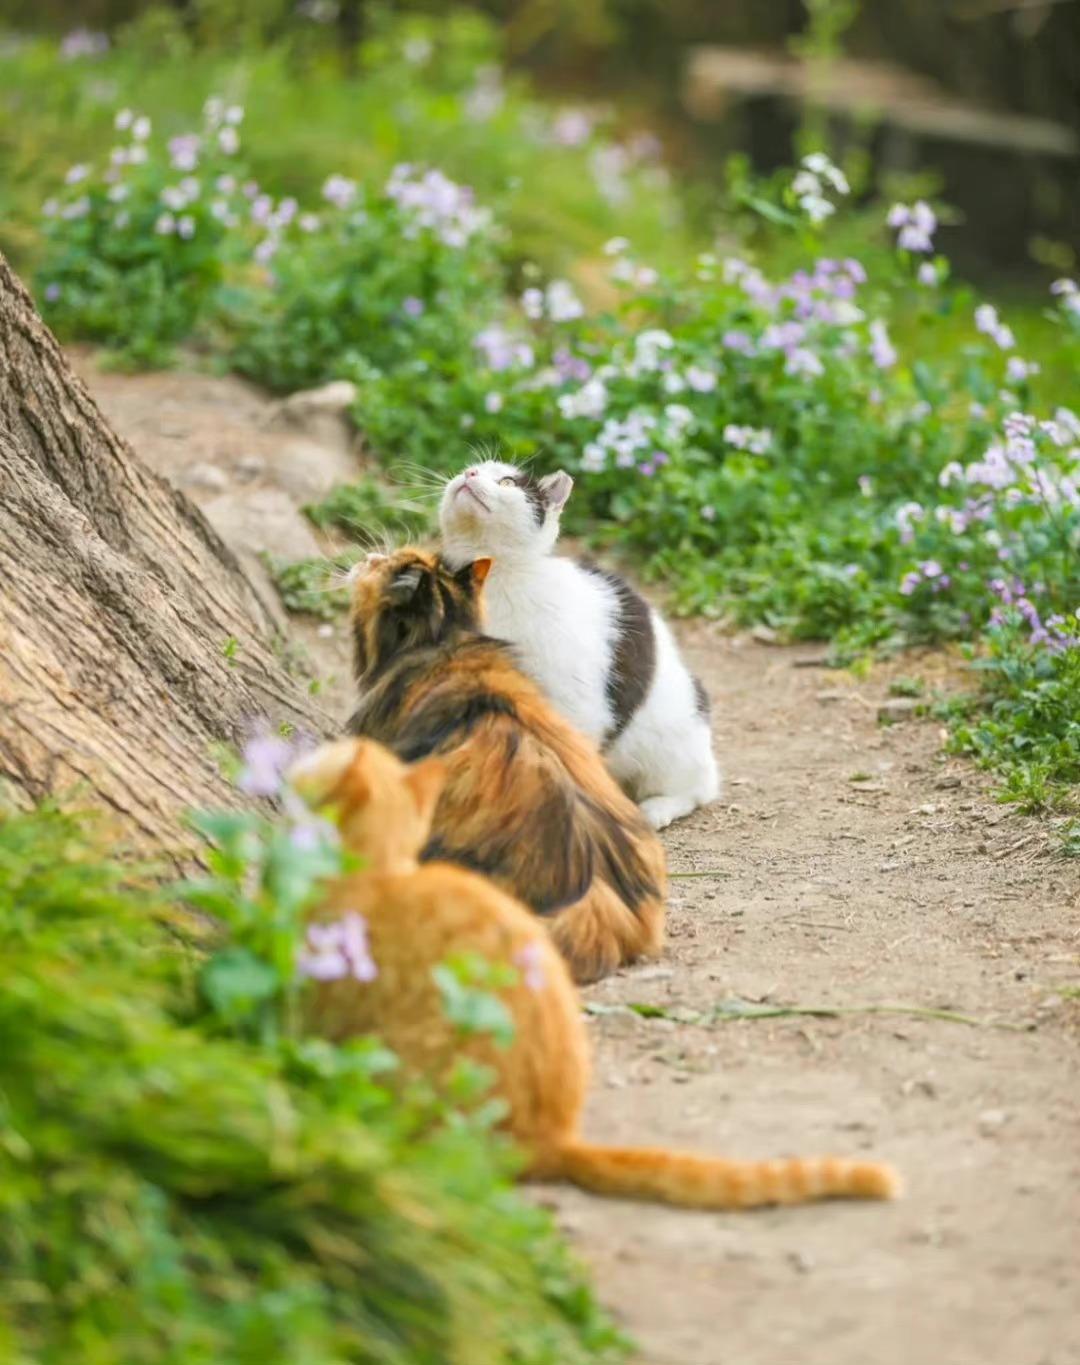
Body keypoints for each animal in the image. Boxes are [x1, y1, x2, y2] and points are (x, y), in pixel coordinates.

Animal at [434, 458, 720, 824]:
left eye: (508, 482)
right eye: (470, 469)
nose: (468, 475)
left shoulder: (575, 700)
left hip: (672, 743)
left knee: (698, 789)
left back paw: (655, 809)